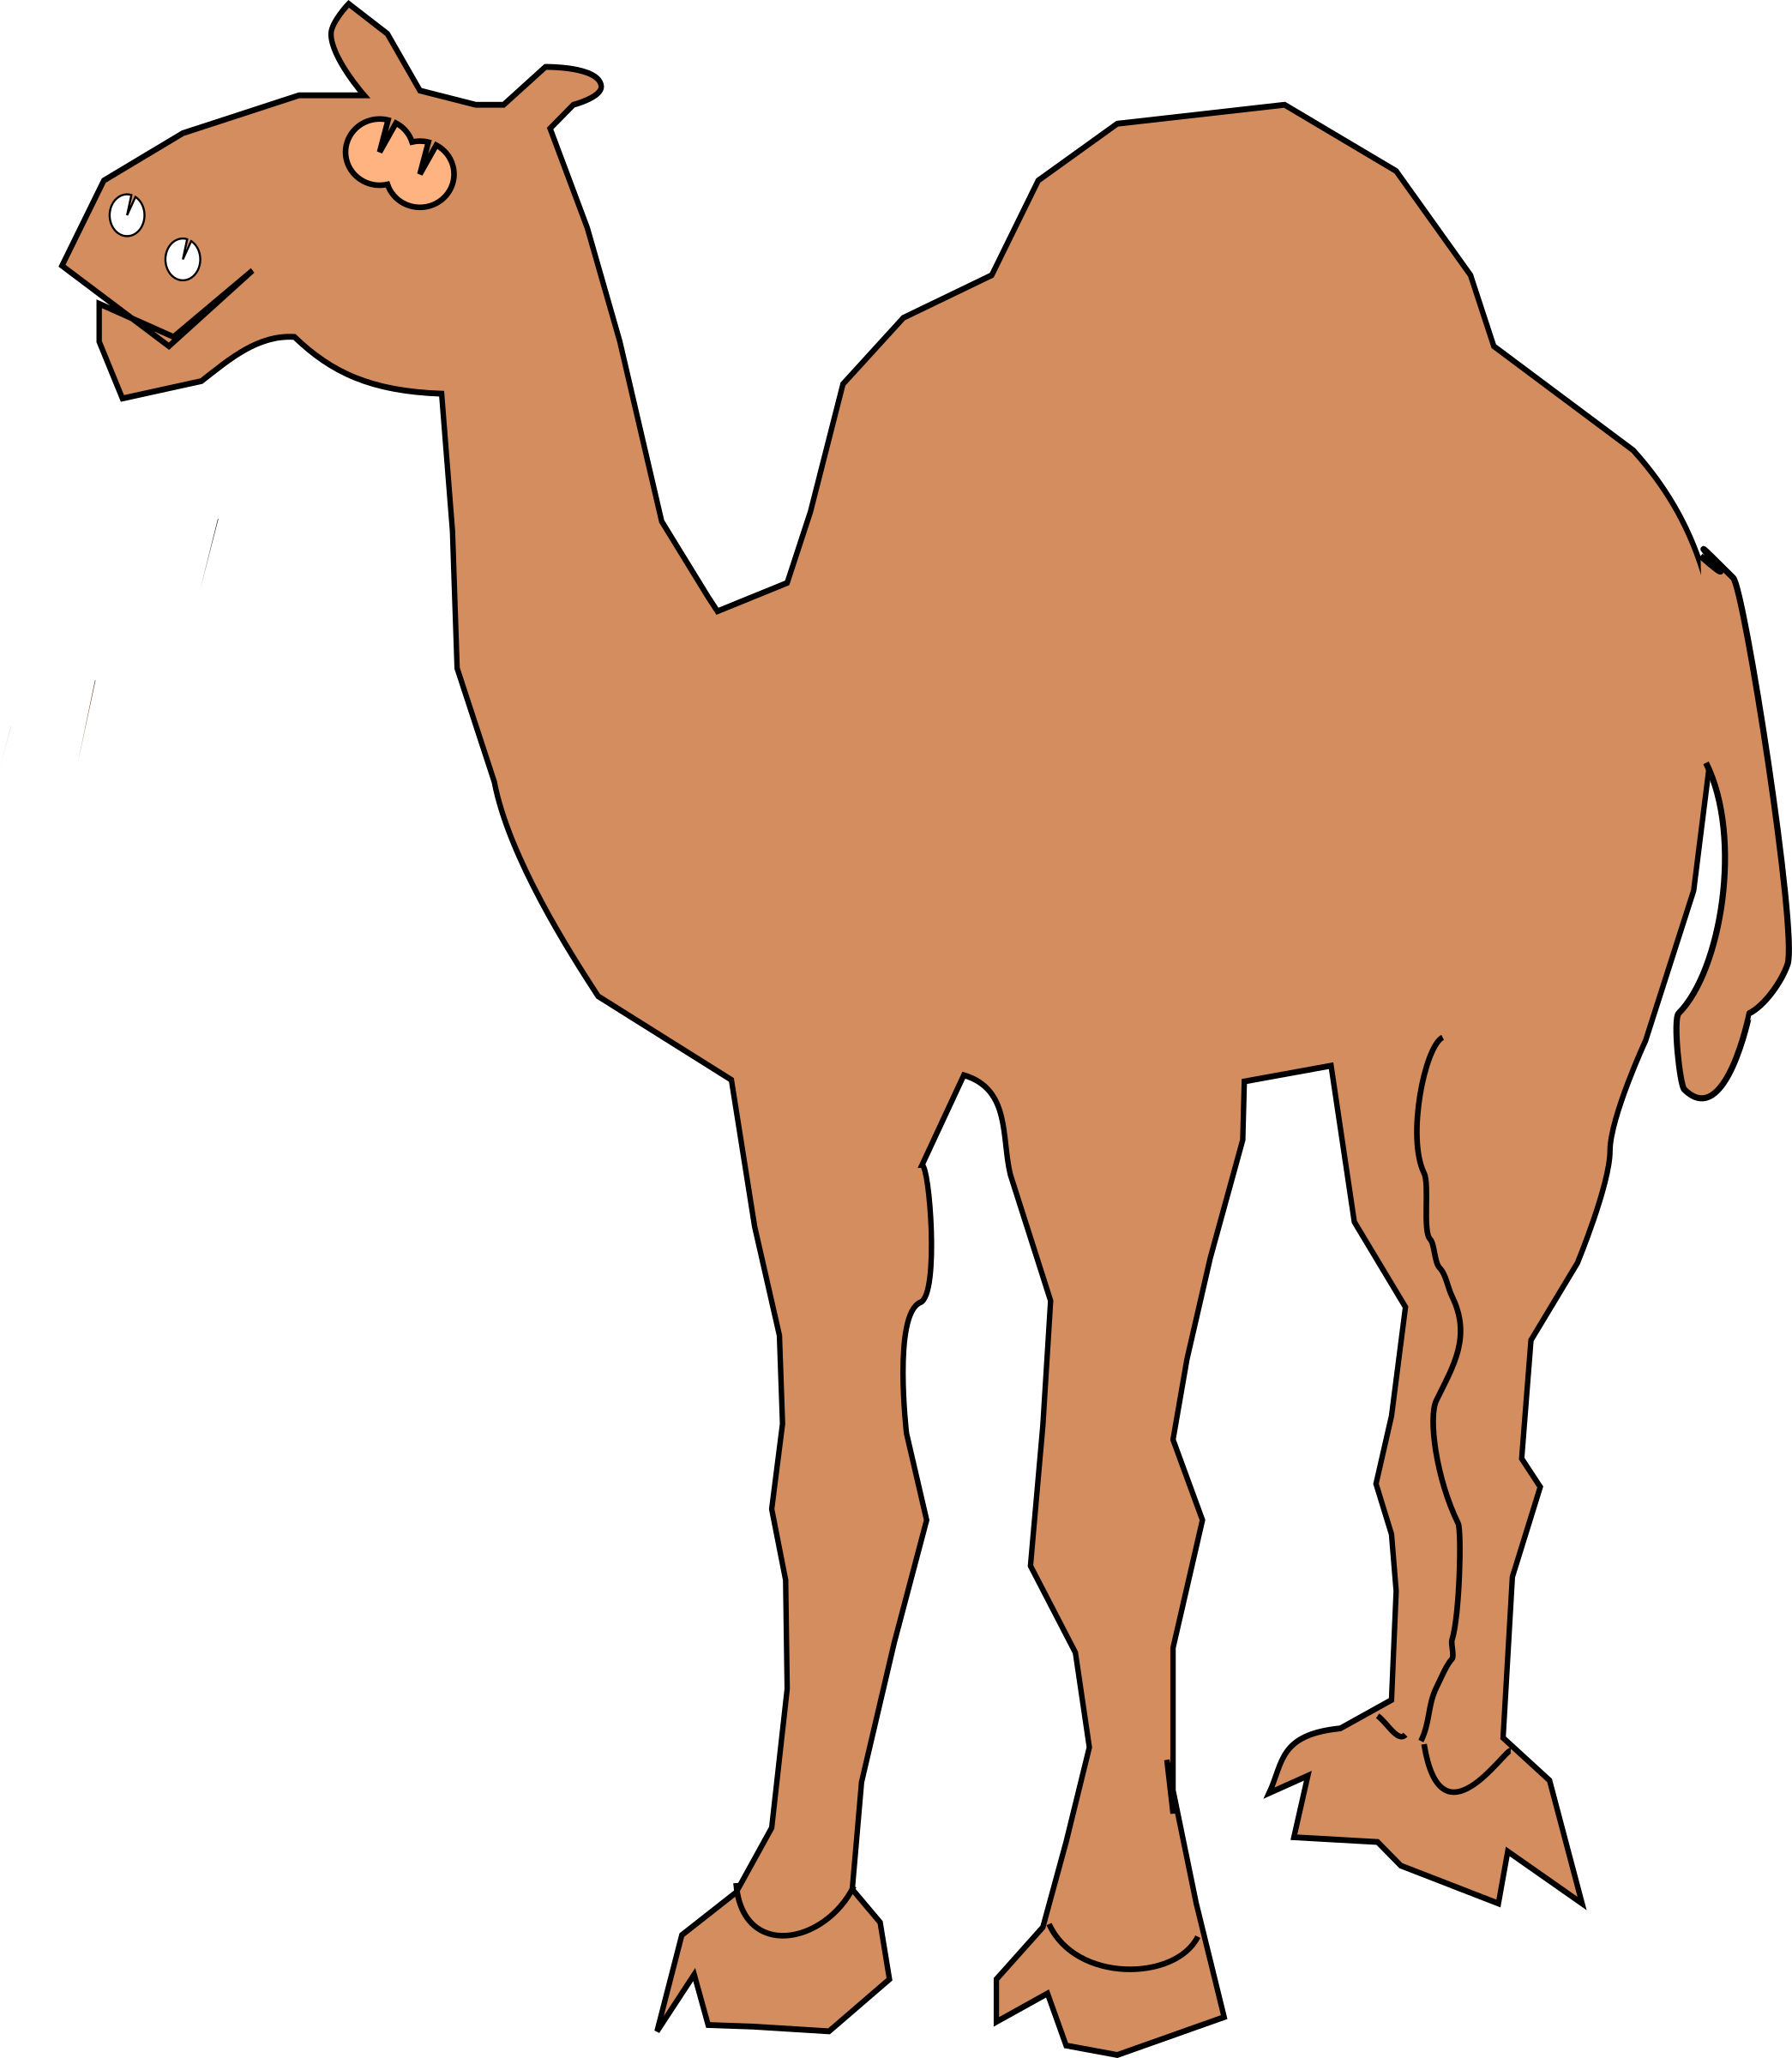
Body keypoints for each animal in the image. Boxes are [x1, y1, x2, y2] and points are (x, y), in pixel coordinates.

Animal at [66, 15, 1782, 2048]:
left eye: (398, 160)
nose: (131, 221)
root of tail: (1689, 577)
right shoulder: (821, 1079)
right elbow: (834, 1497)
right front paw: (782, 1932)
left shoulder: (1119, 1078)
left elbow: (1112, 1512)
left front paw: (1122, 1949)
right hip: (1387, 1031)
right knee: (1428, 1319)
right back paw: (1372, 1752)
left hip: (1556, 977)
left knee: (1486, 1340)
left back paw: (1458, 1797)